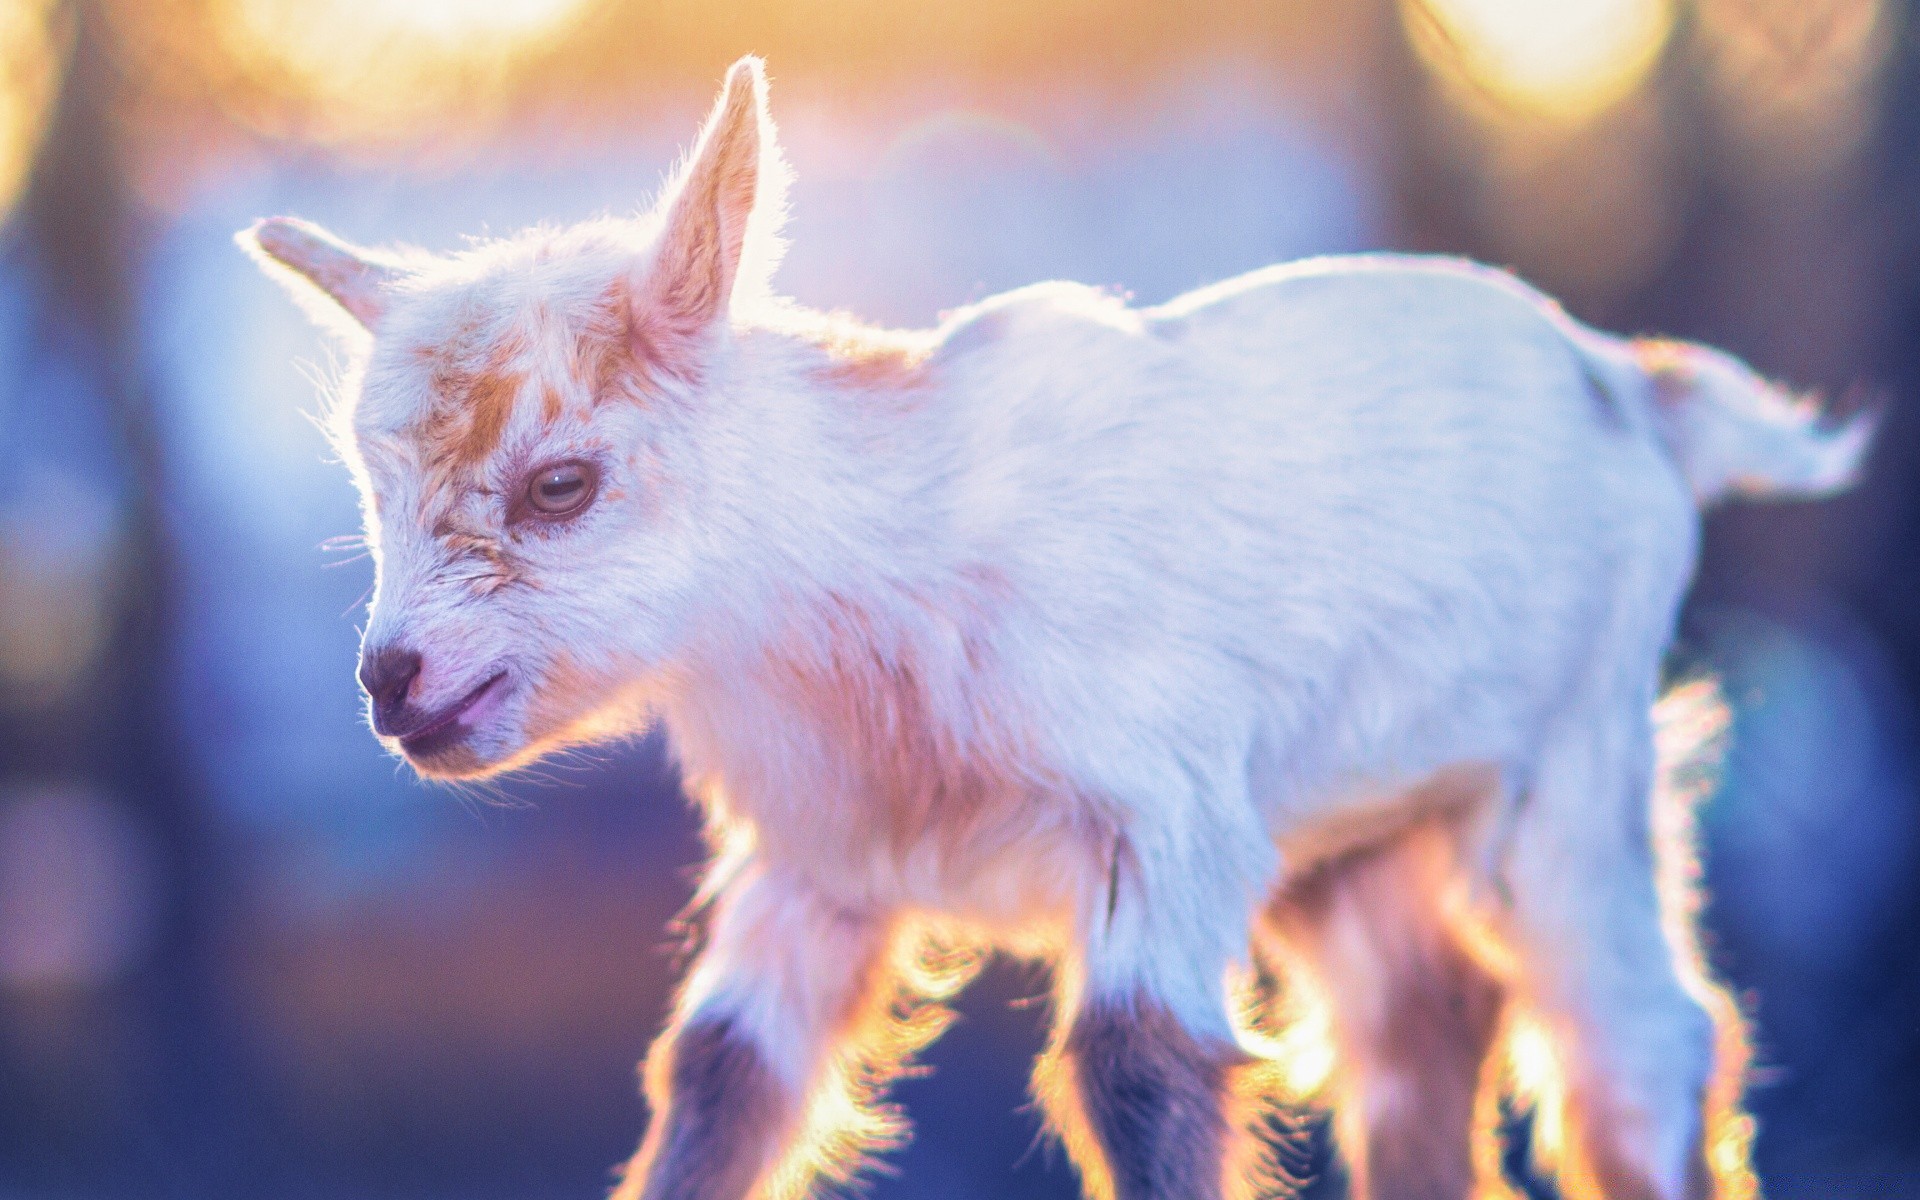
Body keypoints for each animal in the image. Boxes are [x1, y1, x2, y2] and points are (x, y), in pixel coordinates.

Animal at [243, 53, 1873, 1198]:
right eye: (373, 493)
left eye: (560, 484)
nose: (395, 686)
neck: (886, 579)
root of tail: (1634, 383)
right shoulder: (817, 874)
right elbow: (718, 1091)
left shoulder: (1159, 826)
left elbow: (1135, 1084)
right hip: (1346, 834)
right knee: (1421, 1033)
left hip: (1568, 771)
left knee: (1639, 1053)